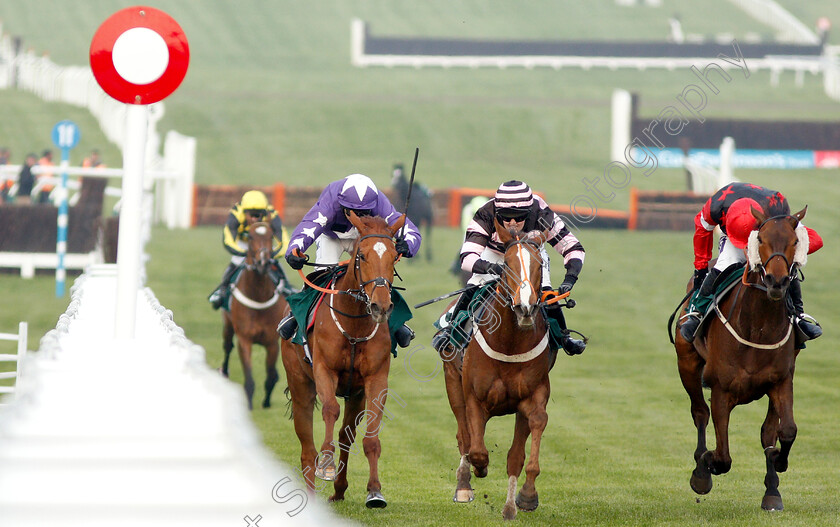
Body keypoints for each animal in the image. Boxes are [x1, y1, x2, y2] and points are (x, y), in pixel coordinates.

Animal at [221, 221, 288, 410]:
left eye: (271, 235)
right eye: (250, 237)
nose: (263, 262)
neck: (258, 297)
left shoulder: (272, 343)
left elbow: (271, 376)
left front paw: (266, 402)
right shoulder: (245, 340)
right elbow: (249, 378)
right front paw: (249, 404)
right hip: (227, 325)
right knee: (227, 347)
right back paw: (224, 371)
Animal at [280, 212, 406, 510]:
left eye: (394, 255)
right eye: (362, 255)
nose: (381, 306)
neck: (355, 324)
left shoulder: (375, 380)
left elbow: (370, 437)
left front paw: (375, 491)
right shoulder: (324, 370)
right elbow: (329, 410)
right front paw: (326, 463)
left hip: (355, 393)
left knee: (346, 435)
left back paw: (339, 489)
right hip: (300, 385)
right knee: (306, 446)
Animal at [440, 220, 556, 524]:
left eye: (540, 265)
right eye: (507, 265)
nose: (525, 307)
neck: (509, 343)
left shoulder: (532, 397)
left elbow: (525, 444)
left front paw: (524, 498)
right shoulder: (474, 398)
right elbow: (476, 448)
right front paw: (476, 472)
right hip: (452, 381)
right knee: (463, 436)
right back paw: (464, 485)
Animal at [672, 204, 812, 510]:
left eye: (795, 242)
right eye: (761, 239)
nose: (776, 281)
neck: (758, 327)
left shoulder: (781, 381)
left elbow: (785, 431)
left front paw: (778, 467)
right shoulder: (721, 390)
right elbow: (723, 456)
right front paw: (706, 464)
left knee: (768, 431)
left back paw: (772, 488)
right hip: (686, 363)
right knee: (699, 412)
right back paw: (701, 470)